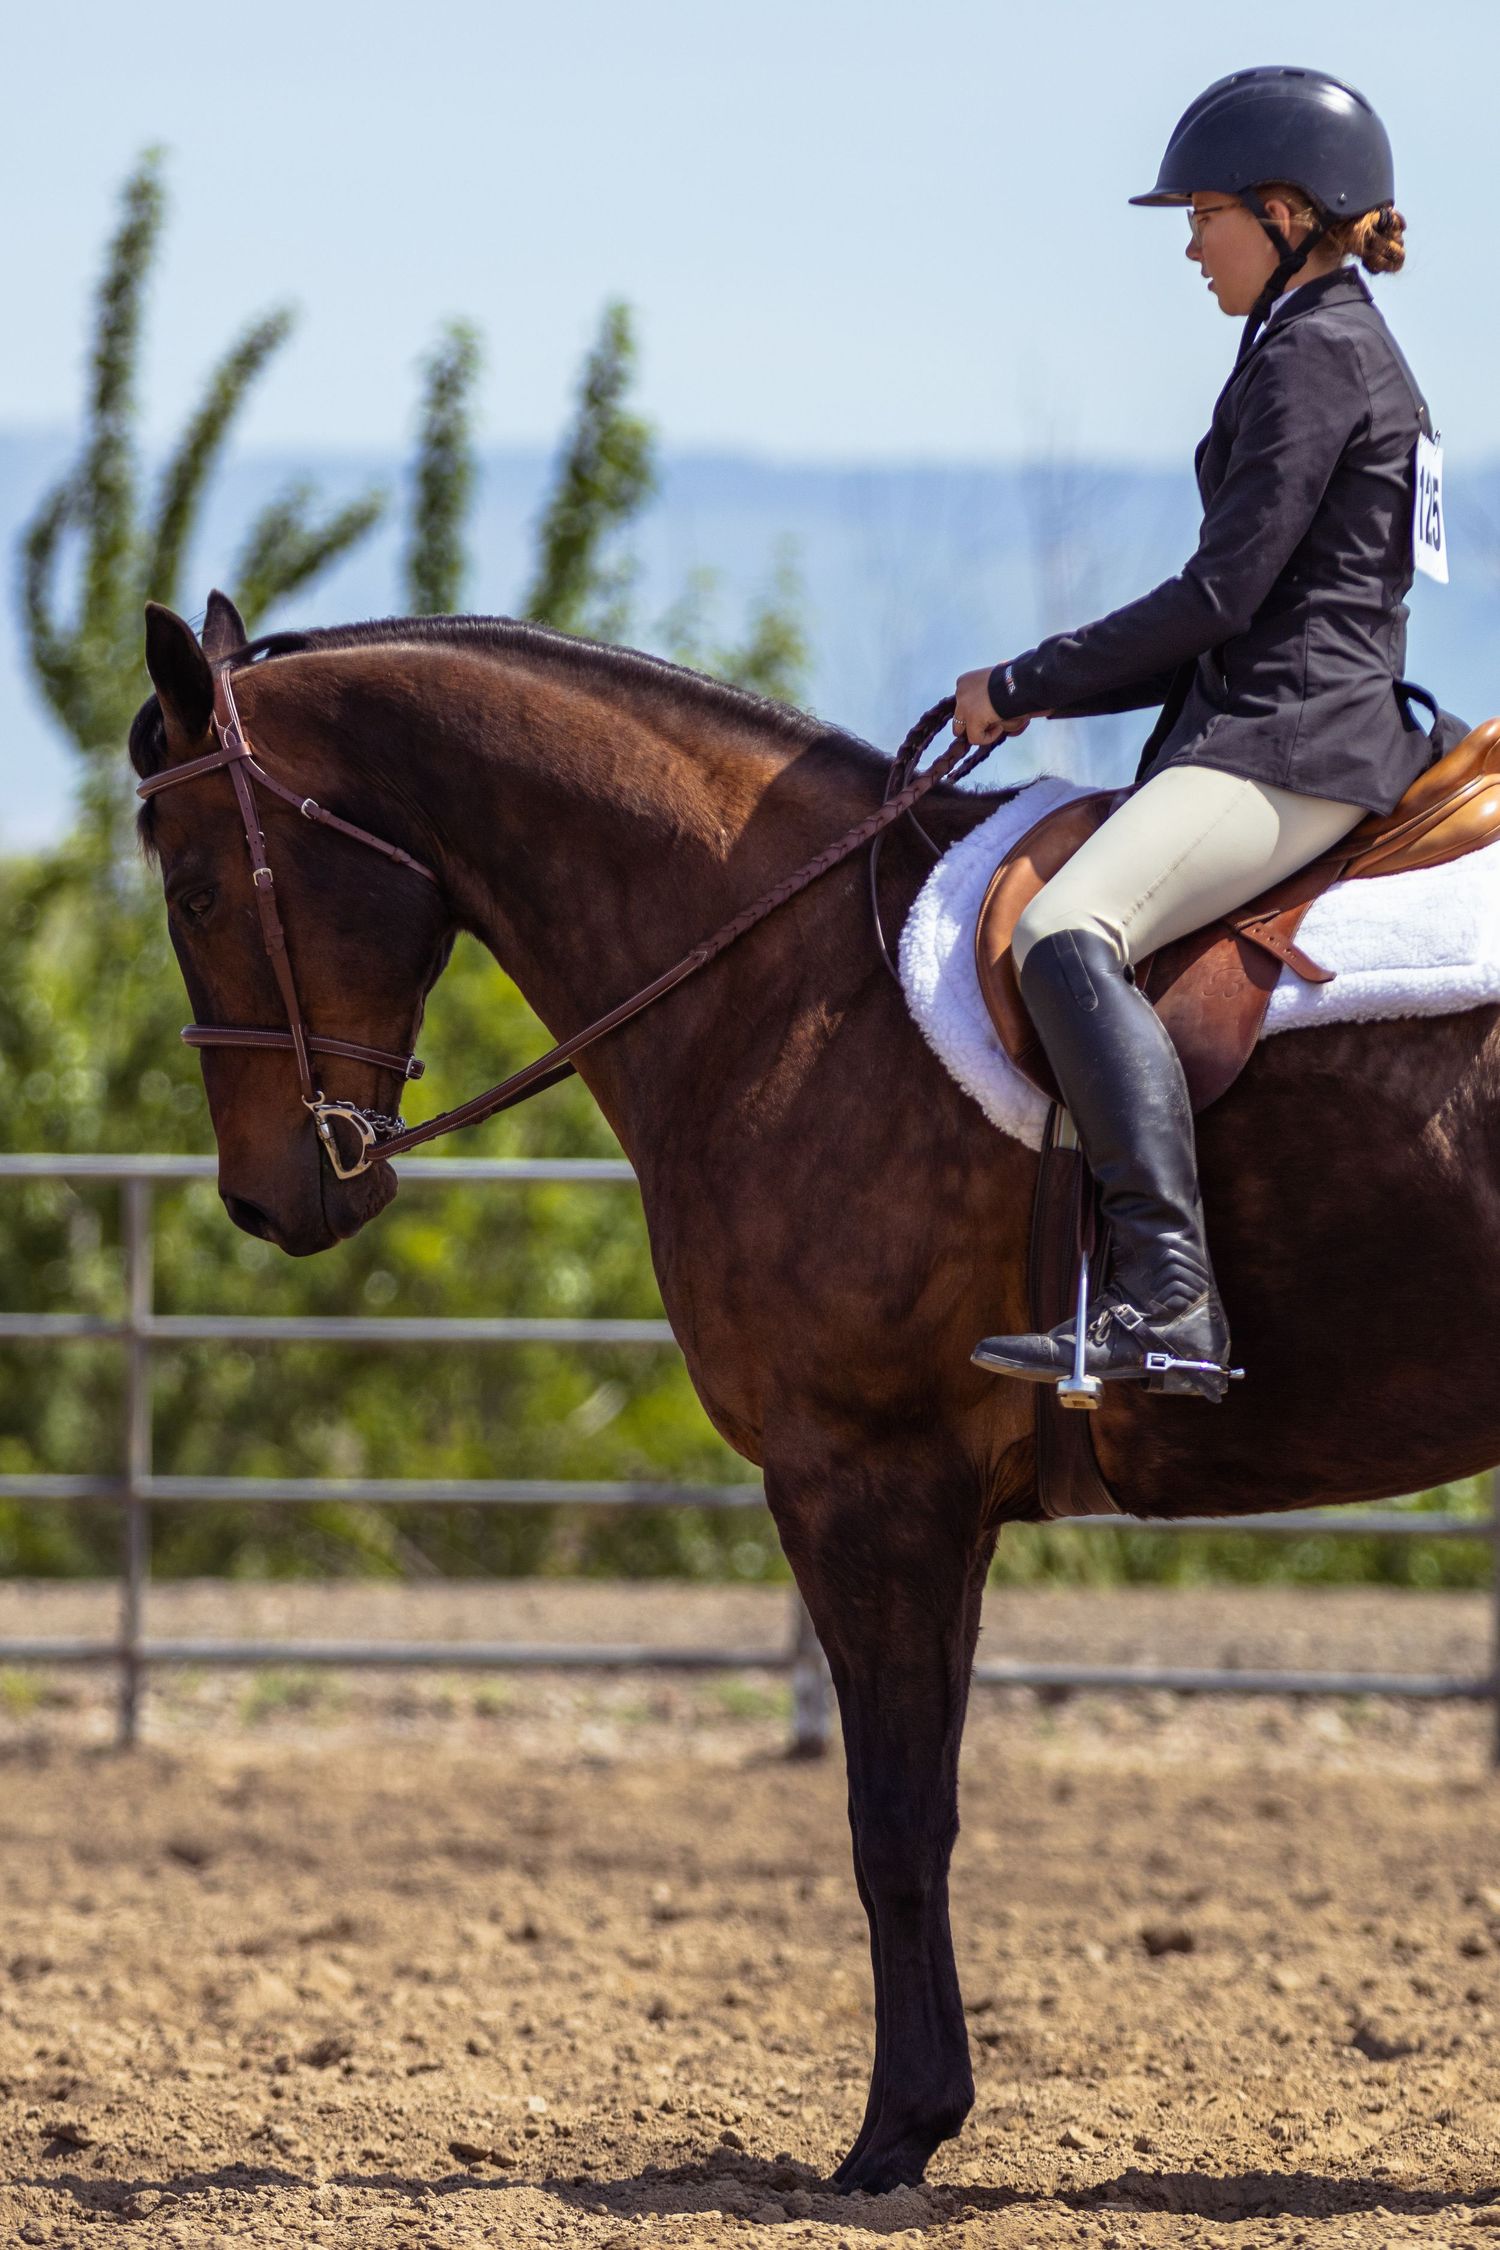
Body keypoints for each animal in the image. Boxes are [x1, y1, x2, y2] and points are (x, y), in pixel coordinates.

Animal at [130, 592, 1500, 2194]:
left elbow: (889, 1821)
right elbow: (927, 1806)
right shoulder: (940, 1509)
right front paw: (918, 2117)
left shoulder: (863, 1481)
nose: (268, 1200)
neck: (782, 976)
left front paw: (893, 2134)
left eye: (197, 892)